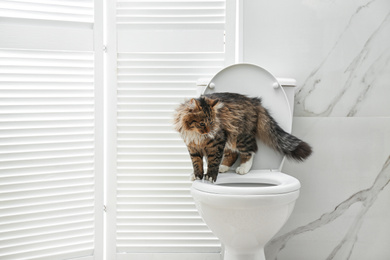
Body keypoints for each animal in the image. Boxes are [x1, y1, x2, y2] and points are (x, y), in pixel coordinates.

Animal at [172, 92, 312, 182]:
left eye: (211, 123)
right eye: (202, 124)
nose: (210, 131)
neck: (196, 134)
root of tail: (254, 101)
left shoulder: (217, 142)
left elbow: (213, 161)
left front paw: (210, 176)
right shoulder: (192, 146)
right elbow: (196, 163)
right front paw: (197, 176)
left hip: (240, 136)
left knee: (251, 151)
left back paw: (243, 168)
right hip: (231, 137)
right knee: (233, 154)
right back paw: (223, 167)